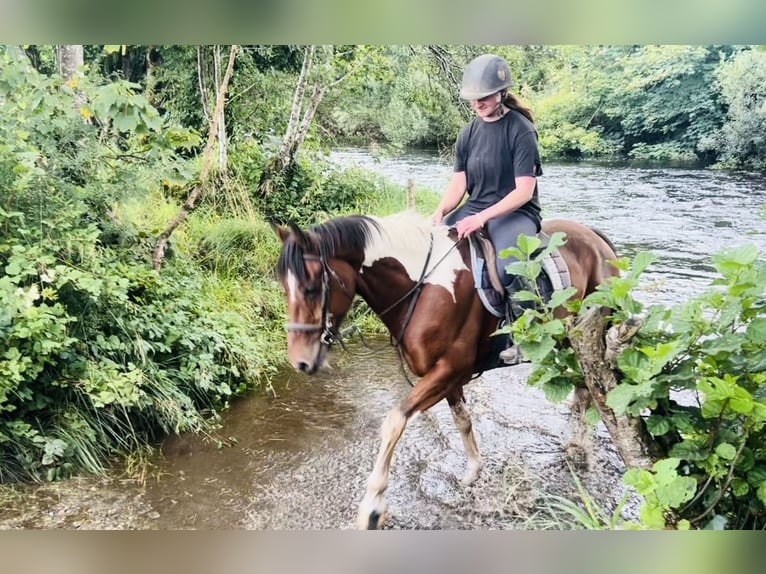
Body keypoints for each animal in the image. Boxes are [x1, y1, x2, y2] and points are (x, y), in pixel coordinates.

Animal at [272, 212, 620, 532]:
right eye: (284, 286)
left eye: (312, 288)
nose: (300, 361)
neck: (424, 287)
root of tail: (595, 238)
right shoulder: (447, 375)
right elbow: (462, 420)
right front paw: (473, 472)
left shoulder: (448, 369)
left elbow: (394, 421)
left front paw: (372, 507)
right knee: (581, 390)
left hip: (589, 335)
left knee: (592, 390)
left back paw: (580, 450)